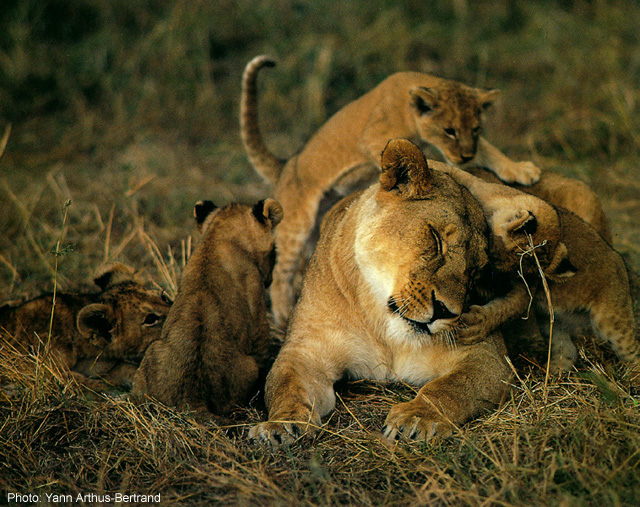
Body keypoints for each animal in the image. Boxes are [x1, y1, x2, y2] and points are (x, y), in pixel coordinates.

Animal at [132, 198, 283, 417]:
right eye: (274, 251)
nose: (270, 279)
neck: (218, 237)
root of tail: (193, 398)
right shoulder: (258, 316)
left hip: (152, 352)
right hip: (249, 367)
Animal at [241, 55, 542, 327]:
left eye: (476, 129)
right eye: (449, 131)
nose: (466, 156)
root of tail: (286, 165)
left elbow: (489, 150)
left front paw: (520, 170)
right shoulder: (373, 139)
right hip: (296, 223)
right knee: (282, 271)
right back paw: (282, 315)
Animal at [249, 139, 511, 445]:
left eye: (476, 272)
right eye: (436, 240)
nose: (446, 311)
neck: (385, 330)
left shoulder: (487, 356)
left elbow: (450, 388)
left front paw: (416, 418)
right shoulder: (304, 352)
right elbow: (287, 387)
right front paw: (280, 426)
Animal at [435, 164, 639, 378]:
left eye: (509, 272)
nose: (494, 287)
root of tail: (621, 261)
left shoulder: (527, 286)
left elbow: (509, 307)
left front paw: (478, 324)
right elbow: (457, 174)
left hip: (611, 318)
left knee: (631, 349)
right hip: (553, 323)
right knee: (567, 349)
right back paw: (554, 372)